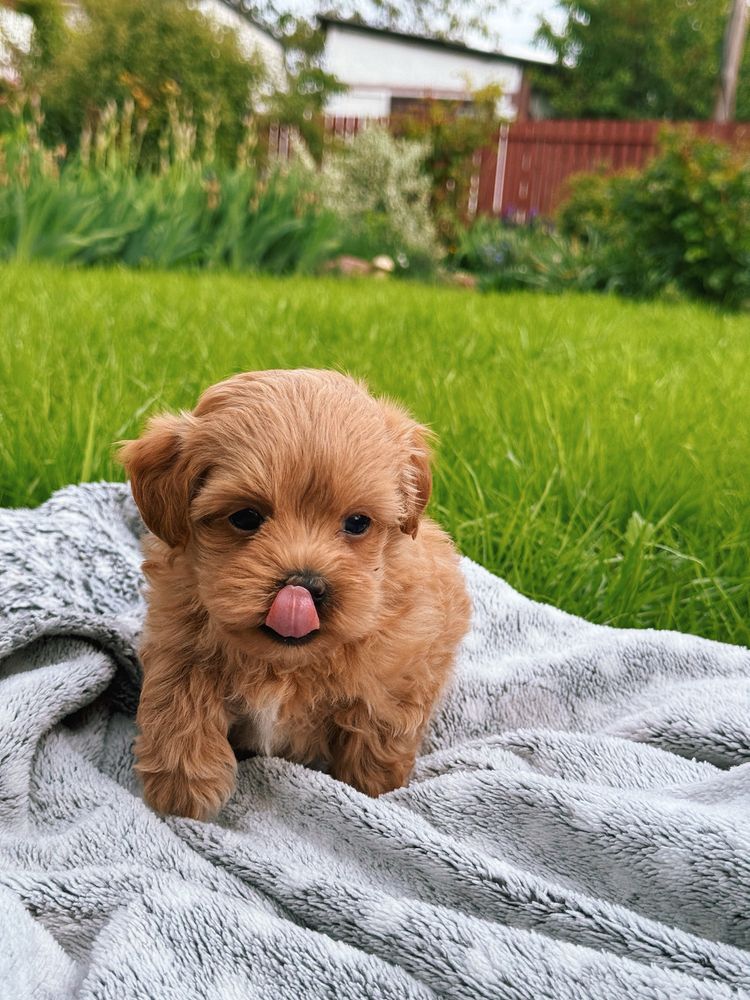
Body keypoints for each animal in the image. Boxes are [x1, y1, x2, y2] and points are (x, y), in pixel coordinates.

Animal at [119, 372, 470, 816]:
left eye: (358, 523)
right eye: (245, 517)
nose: (305, 584)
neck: (285, 665)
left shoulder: (399, 671)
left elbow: (376, 737)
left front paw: (371, 793)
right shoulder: (177, 636)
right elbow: (179, 700)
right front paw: (182, 789)